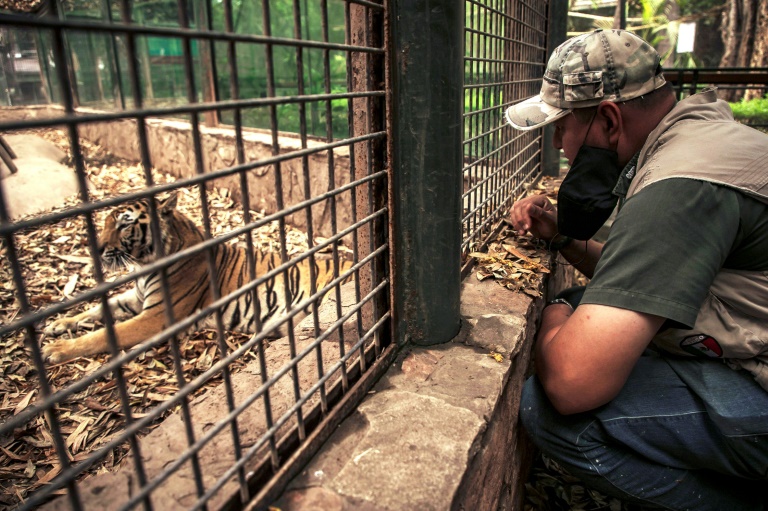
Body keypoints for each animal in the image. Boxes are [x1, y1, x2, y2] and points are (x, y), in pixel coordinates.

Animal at [40, 192, 352, 364]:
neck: (144, 266)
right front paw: (59, 323)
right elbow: (98, 309)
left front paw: (55, 349)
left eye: (125, 223)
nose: (97, 248)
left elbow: (107, 333)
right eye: (106, 221)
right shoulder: (138, 299)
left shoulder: (156, 316)